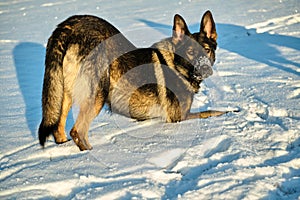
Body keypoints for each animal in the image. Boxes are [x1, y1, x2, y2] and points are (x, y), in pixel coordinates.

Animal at [39, 9, 227, 150]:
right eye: (190, 52)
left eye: (207, 50)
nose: (205, 69)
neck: (177, 65)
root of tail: (69, 26)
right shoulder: (178, 117)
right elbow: (211, 112)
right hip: (97, 94)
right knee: (77, 131)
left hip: (65, 93)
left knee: (59, 129)